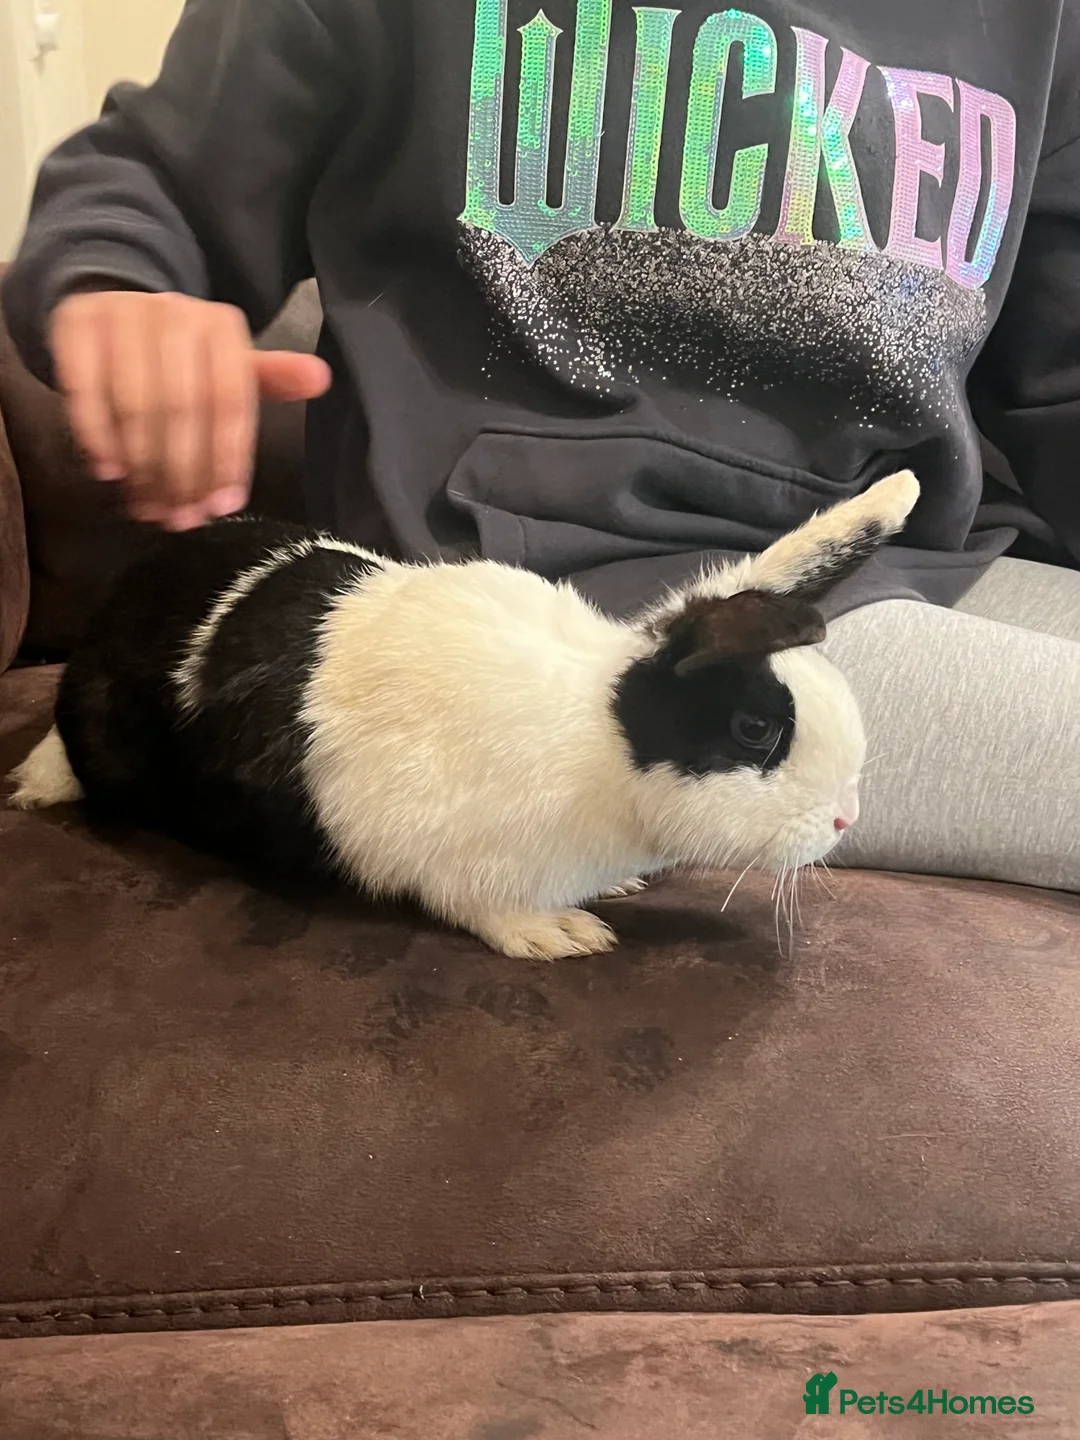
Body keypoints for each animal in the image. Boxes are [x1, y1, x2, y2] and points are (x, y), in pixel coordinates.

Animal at [10, 470, 920, 960]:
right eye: (754, 731)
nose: (845, 818)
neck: (601, 740)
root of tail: (127, 590)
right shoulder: (447, 855)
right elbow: (483, 907)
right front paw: (562, 936)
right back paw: (36, 785)